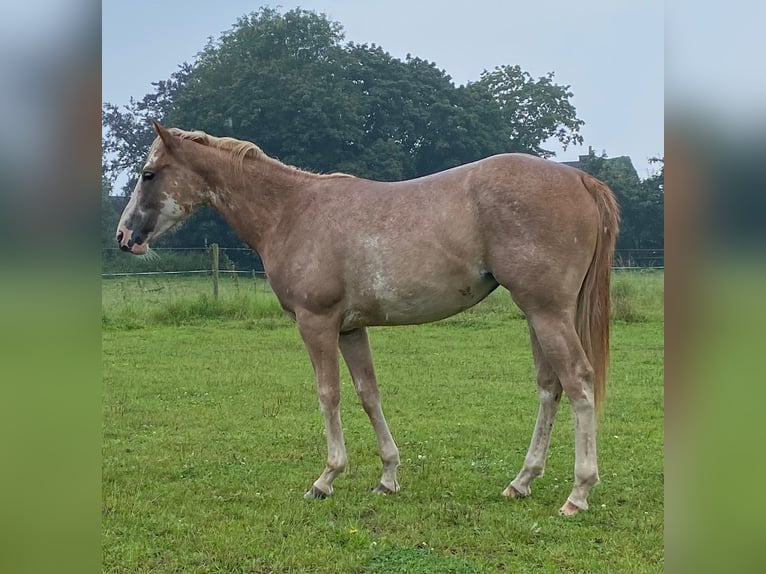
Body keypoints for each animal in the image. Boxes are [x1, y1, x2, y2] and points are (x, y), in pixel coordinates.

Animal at [117, 121, 620, 516]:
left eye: (148, 174)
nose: (125, 236)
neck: (291, 212)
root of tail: (578, 178)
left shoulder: (316, 323)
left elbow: (329, 394)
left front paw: (326, 478)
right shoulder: (350, 328)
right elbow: (368, 394)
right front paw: (388, 476)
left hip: (547, 312)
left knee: (578, 381)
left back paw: (578, 493)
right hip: (537, 314)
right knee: (550, 387)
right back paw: (521, 481)